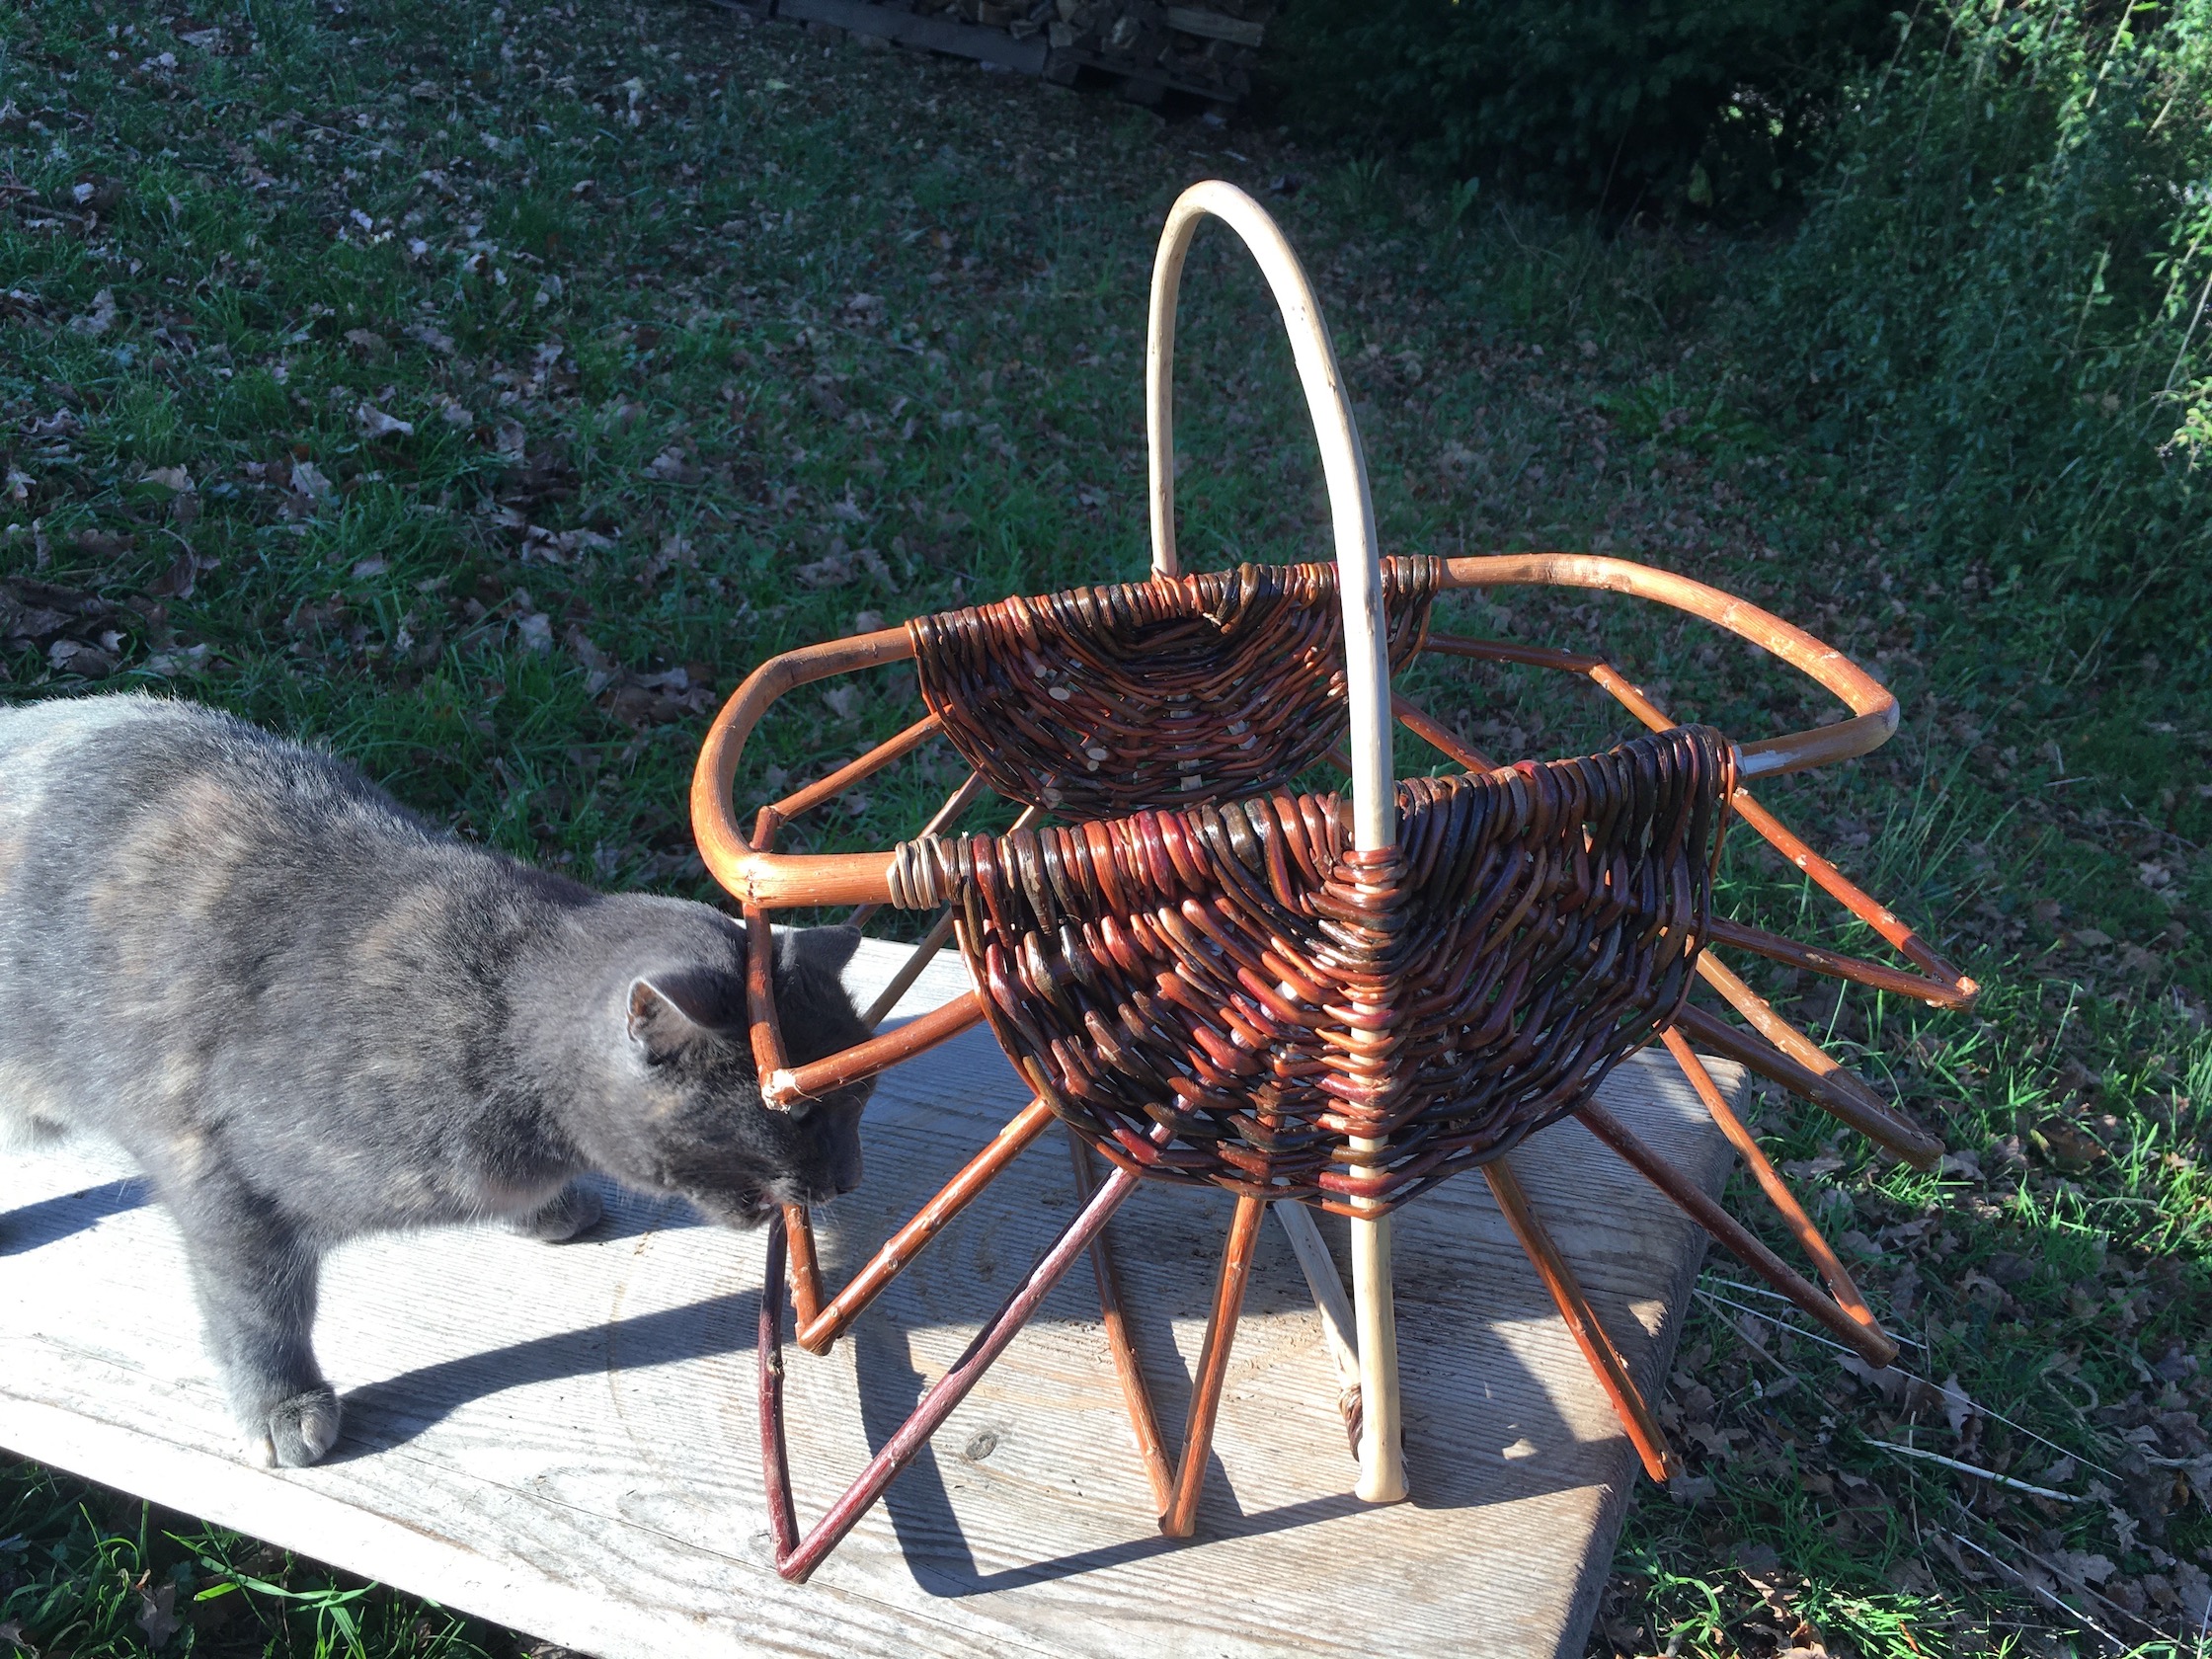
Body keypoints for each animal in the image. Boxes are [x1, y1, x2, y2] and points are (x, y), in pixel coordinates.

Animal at [0, 692, 876, 1468]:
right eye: (801, 1114)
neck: (503, 1016)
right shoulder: (223, 1180)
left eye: (861, 1096)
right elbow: (255, 1307)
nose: (849, 1177)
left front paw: (551, 1211)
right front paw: (283, 1406)